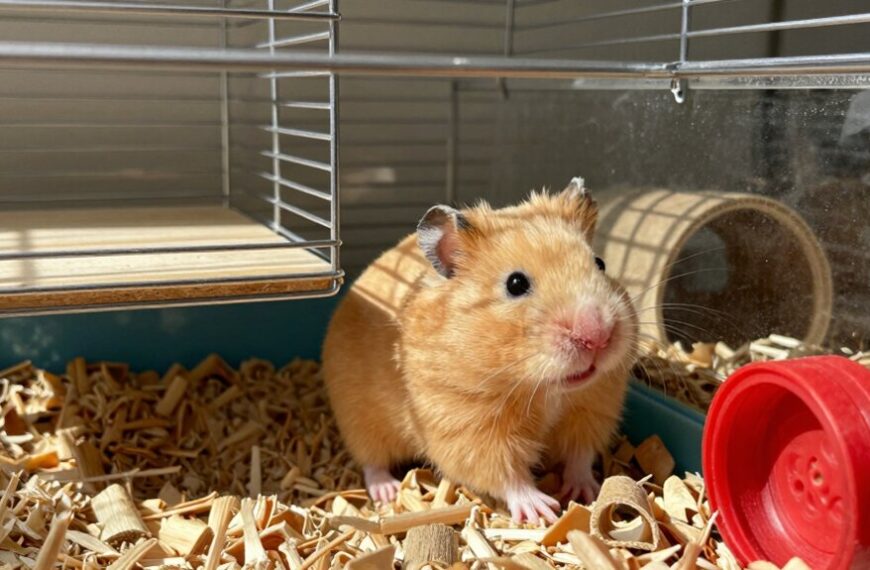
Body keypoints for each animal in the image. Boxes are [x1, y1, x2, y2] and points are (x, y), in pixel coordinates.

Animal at [322, 178, 638, 523]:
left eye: (600, 264)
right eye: (515, 284)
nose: (598, 336)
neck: (543, 388)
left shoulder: (591, 409)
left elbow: (580, 455)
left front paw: (586, 492)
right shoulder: (469, 429)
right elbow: (506, 473)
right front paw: (543, 510)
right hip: (358, 417)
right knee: (371, 460)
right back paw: (387, 491)